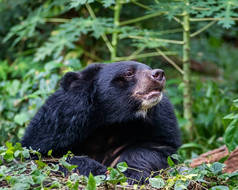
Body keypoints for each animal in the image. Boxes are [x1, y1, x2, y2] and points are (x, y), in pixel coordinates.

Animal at [21, 60, 181, 183]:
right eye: (128, 73)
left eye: (149, 68)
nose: (159, 74)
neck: (112, 122)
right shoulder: (58, 125)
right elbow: (52, 156)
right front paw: (98, 170)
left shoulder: (160, 124)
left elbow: (154, 148)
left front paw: (132, 174)